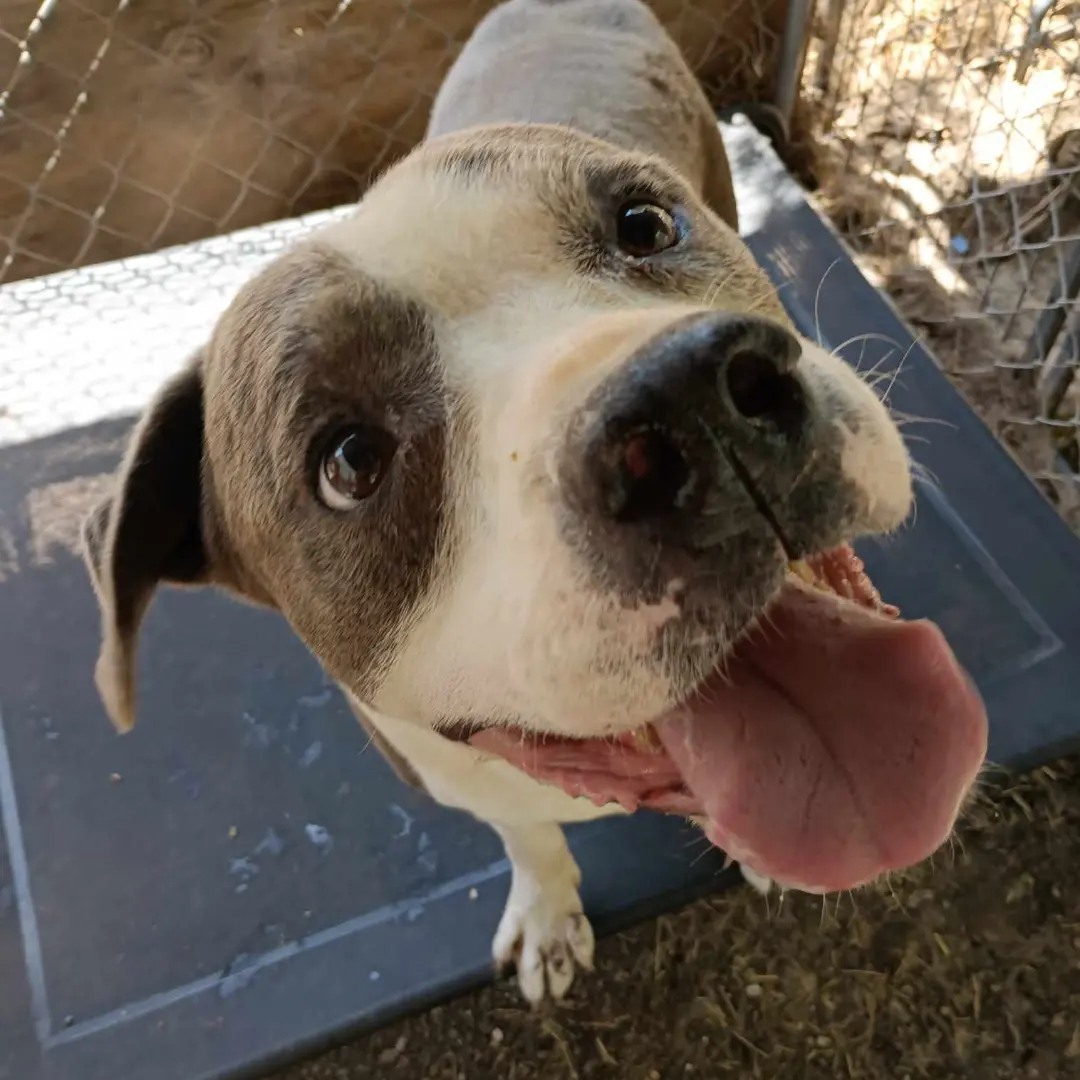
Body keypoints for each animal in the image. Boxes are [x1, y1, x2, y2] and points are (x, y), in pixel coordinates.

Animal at [82, 0, 989, 1002]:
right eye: (348, 460)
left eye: (644, 224)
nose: (688, 401)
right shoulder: (471, 786)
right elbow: (529, 836)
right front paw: (549, 910)